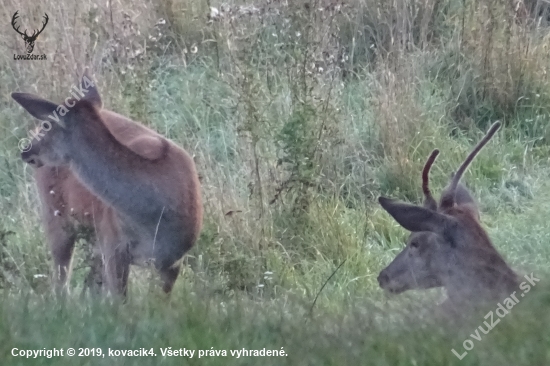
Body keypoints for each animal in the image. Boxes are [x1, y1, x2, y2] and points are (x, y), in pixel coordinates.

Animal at [14, 71, 204, 298]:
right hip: (55, 214)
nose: (26, 150)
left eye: (47, 124)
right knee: (61, 284)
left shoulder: (173, 260)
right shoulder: (113, 242)